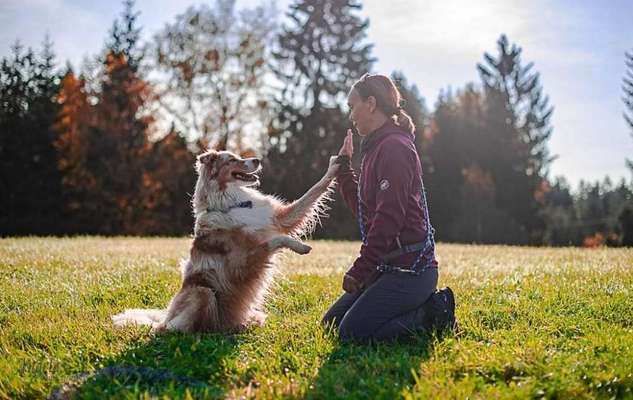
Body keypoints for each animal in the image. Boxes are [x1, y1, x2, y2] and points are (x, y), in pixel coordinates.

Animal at [111, 148, 338, 332]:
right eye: (231, 160)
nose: (257, 159)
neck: (232, 203)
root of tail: (165, 317)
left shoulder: (280, 217)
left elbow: (312, 192)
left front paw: (334, 167)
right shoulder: (240, 265)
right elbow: (275, 240)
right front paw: (300, 247)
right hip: (202, 291)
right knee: (173, 329)